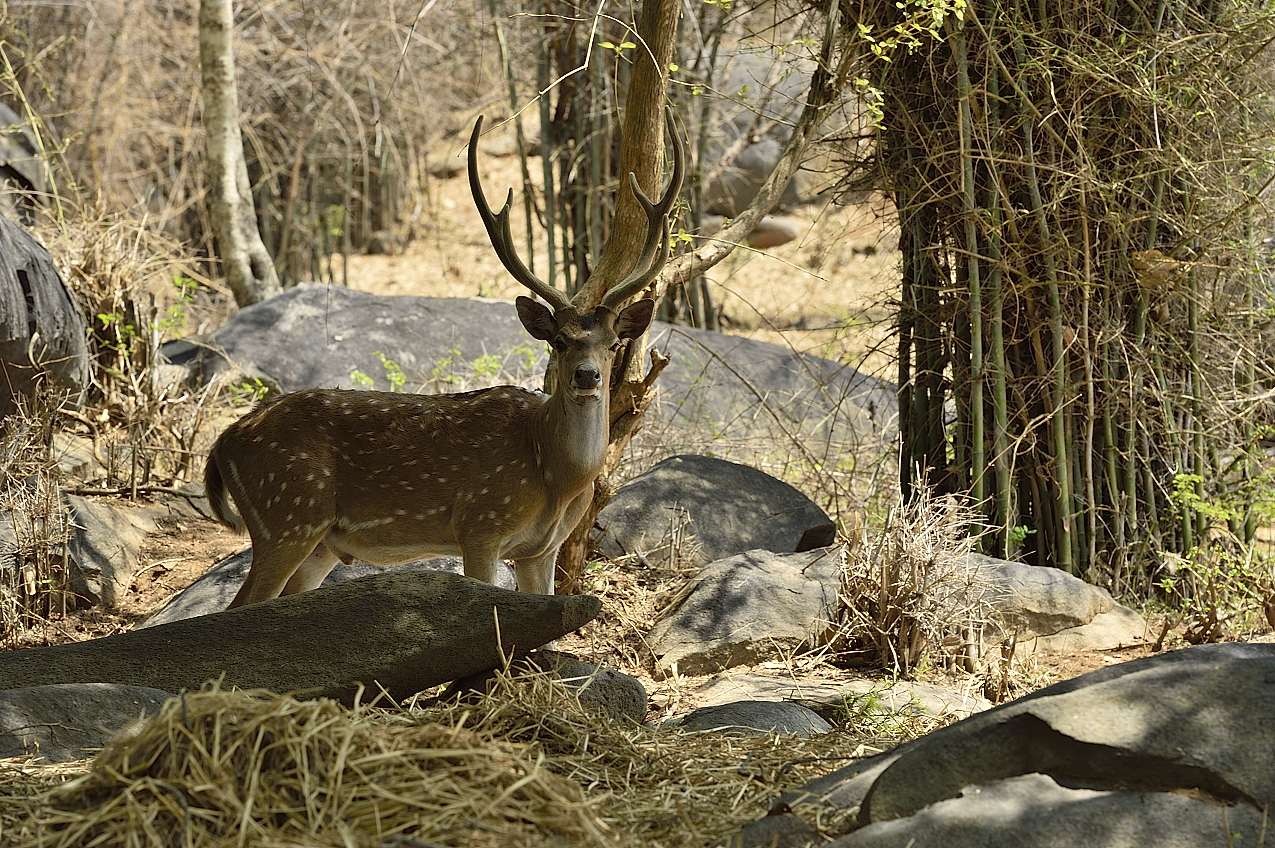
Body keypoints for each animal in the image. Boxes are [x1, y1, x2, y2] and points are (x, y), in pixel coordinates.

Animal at [204, 117, 683, 609]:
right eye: (560, 341)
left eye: (613, 343)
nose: (588, 375)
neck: (555, 475)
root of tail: (222, 443)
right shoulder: (480, 523)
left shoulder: (541, 549)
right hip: (287, 513)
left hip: (319, 542)